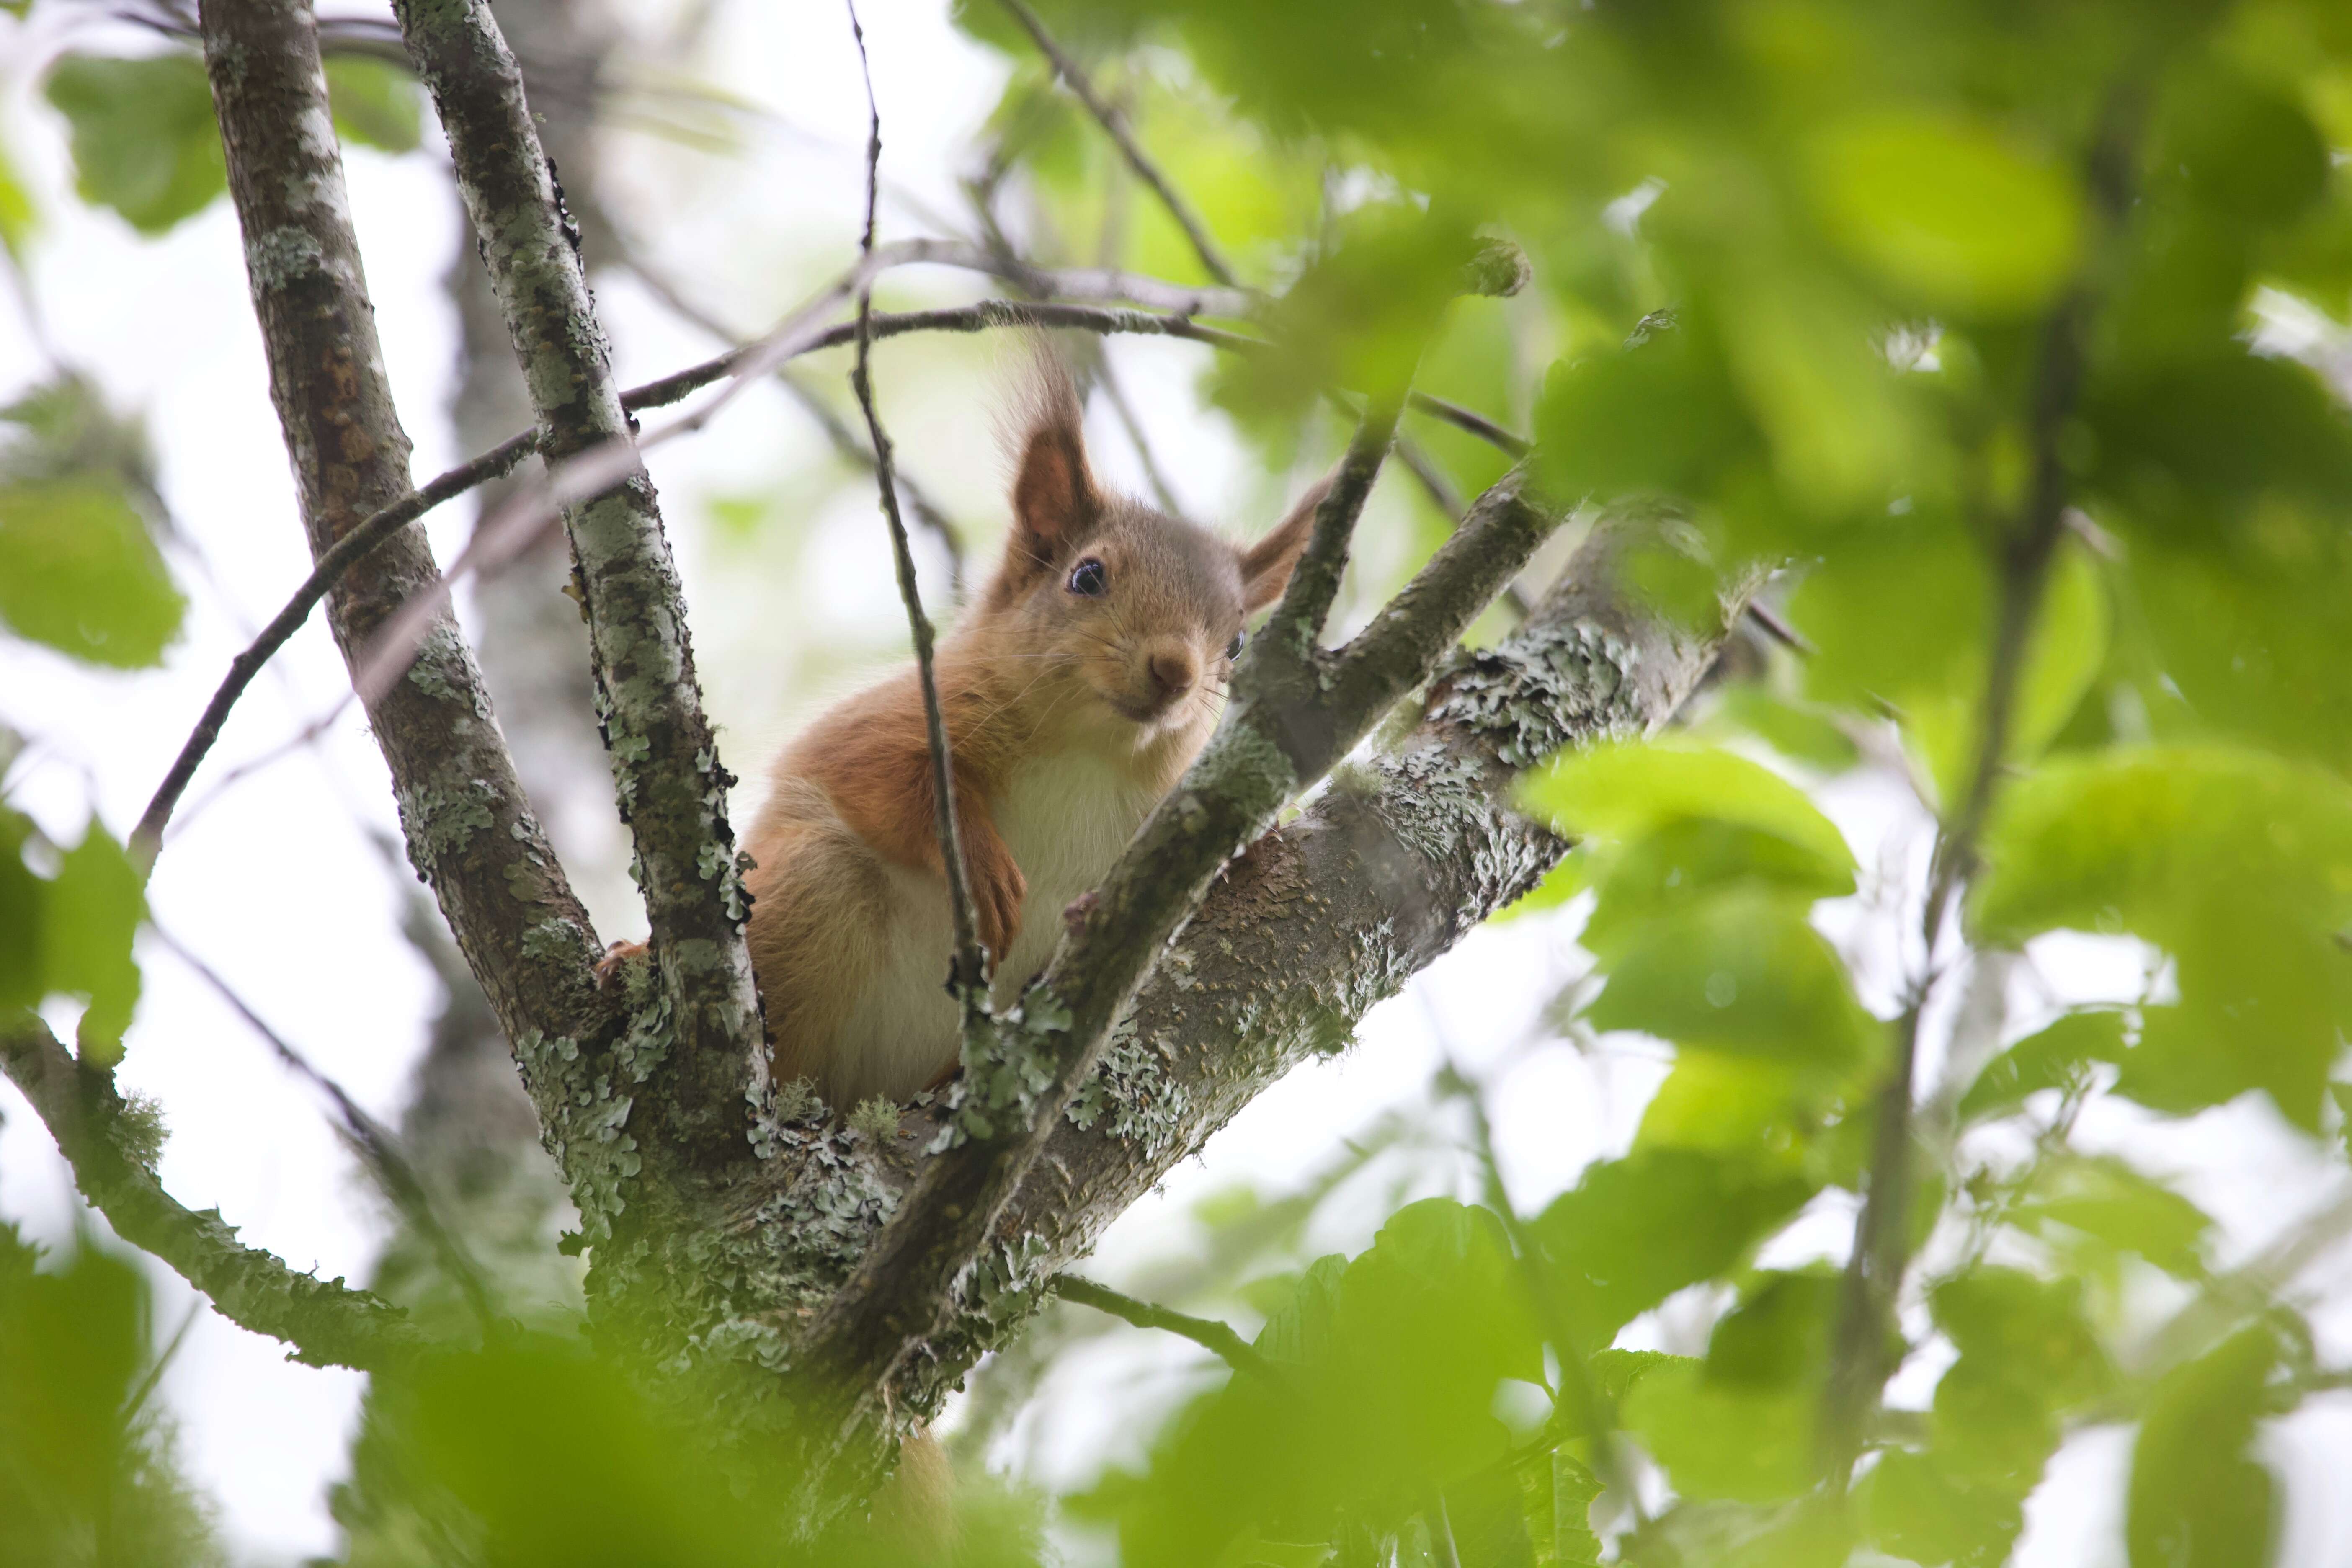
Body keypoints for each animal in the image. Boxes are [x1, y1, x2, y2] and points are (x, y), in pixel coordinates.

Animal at [734, 355, 1326, 1114]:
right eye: (1087, 575)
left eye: (1239, 642)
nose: (1174, 670)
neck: (1090, 757)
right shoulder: (905, 711)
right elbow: (869, 765)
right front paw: (979, 859)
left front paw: (1255, 842)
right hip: (814, 887)